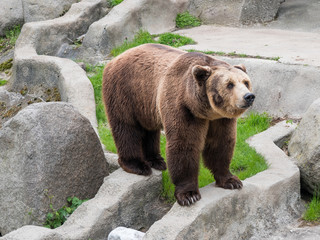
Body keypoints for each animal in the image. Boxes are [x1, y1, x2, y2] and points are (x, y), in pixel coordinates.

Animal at [102, 42, 255, 204]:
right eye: (230, 84)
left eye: (246, 82)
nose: (249, 96)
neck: (203, 109)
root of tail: (115, 58)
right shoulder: (183, 107)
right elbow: (184, 144)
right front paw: (189, 195)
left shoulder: (220, 119)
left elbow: (221, 143)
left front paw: (231, 180)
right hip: (125, 92)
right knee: (126, 128)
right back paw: (137, 165)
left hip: (146, 104)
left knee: (149, 130)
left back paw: (157, 161)